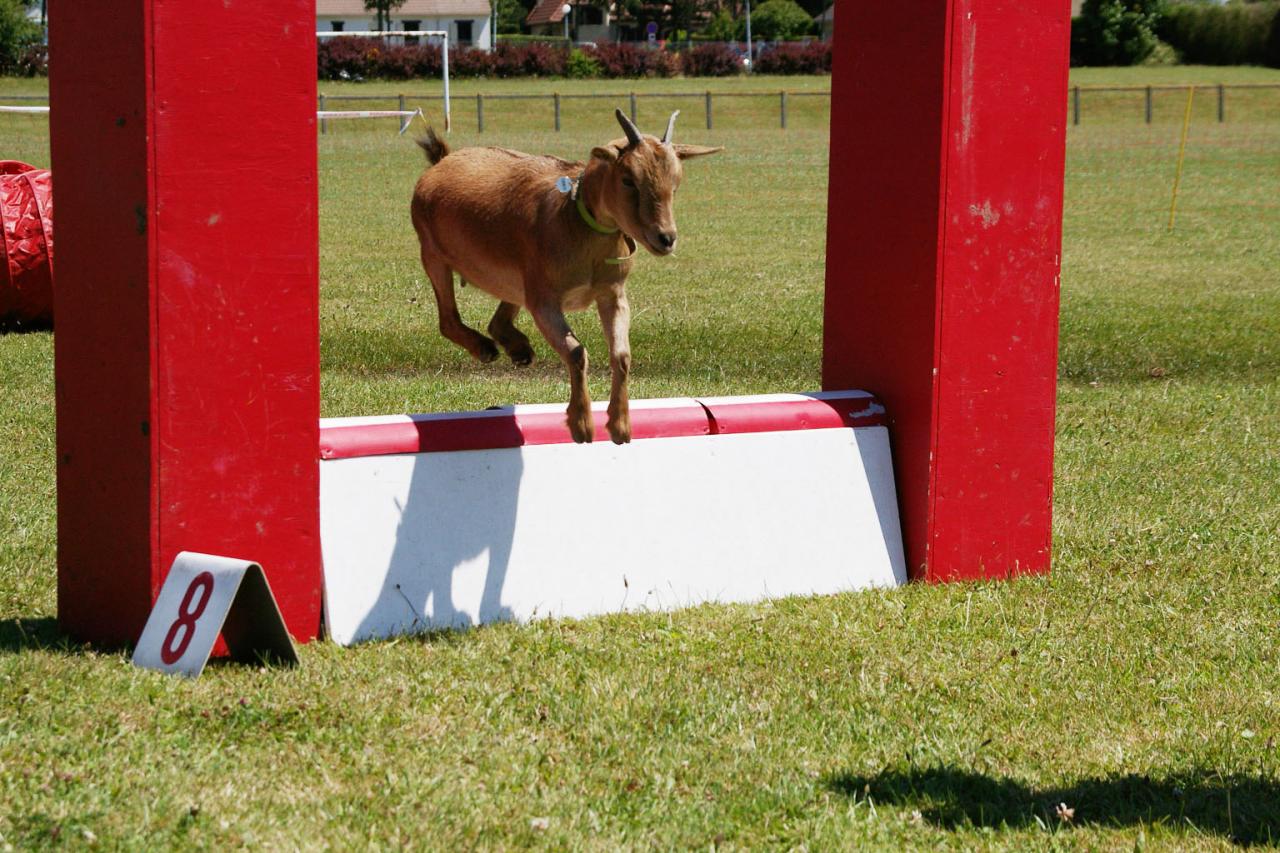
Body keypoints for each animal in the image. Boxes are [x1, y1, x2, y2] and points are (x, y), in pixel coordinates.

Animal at [409, 108, 721, 440]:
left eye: (676, 182)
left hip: (516, 279)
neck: (575, 217)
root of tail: (441, 162)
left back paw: (518, 349)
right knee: (447, 319)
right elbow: (576, 352)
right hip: (433, 254)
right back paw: (484, 348)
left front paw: (620, 426)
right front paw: (581, 424)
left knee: (498, 318)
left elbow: (622, 355)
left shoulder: (612, 293)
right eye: (628, 179)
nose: (665, 238)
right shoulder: (545, 301)